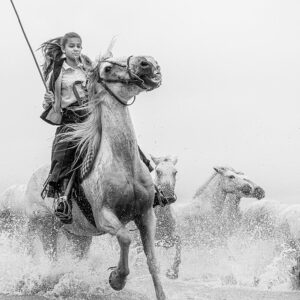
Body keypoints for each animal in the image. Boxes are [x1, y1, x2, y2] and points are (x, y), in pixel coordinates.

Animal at [24, 50, 166, 298]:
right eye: (107, 68)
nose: (146, 63)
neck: (123, 164)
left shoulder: (147, 215)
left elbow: (152, 262)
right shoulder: (104, 216)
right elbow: (125, 238)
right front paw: (116, 279)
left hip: (79, 236)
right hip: (45, 228)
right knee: (52, 260)